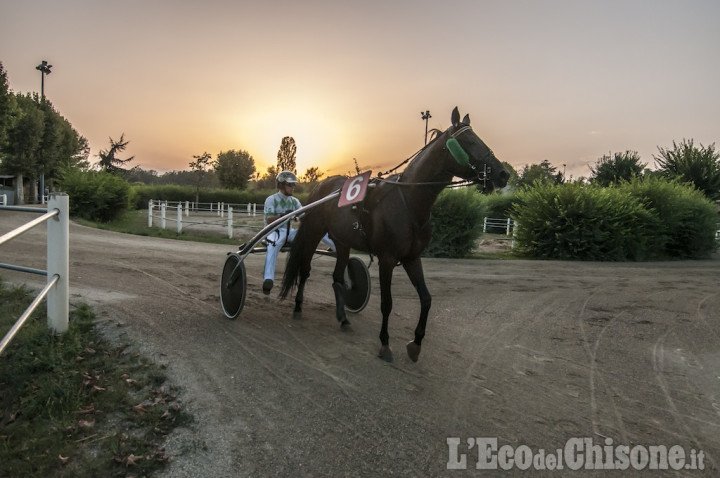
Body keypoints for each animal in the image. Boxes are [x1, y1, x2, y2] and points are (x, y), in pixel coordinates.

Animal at [278, 107, 510, 362]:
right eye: (470, 141)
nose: (503, 174)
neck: (409, 202)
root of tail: (322, 185)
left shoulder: (412, 258)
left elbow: (426, 299)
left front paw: (416, 343)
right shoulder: (387, 259)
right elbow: (387, 303)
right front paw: (385, 344)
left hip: (342, 241)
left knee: (338, 277)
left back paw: (344, 319)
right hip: (314, 232)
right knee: (305, 269)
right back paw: (298, 307)